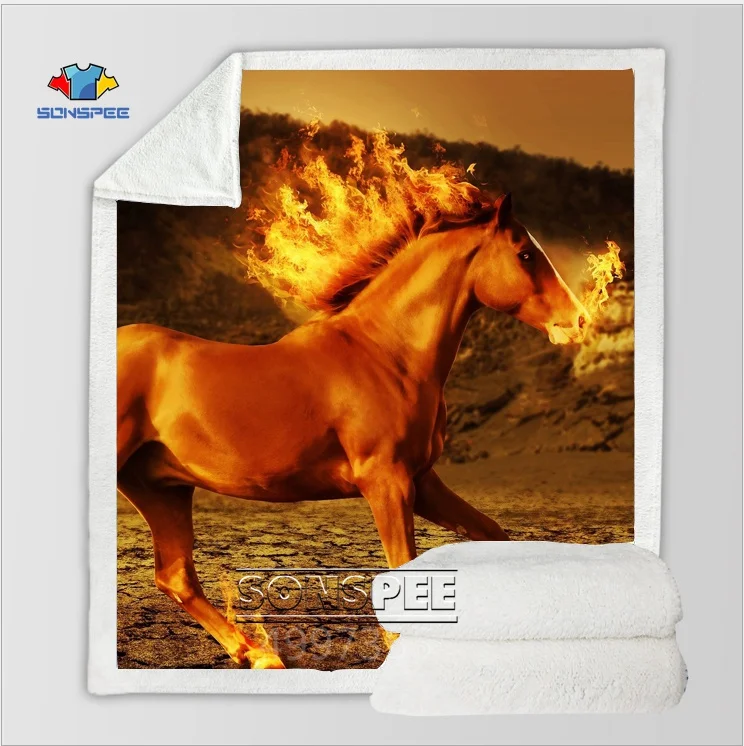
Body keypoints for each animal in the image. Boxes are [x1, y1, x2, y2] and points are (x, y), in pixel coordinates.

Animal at [116, 193, 588, 669]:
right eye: (525, 254)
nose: (579, 320)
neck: (385, 353)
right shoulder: (387, 482)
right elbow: (402, 570)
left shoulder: (422, 481)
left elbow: (492, 533)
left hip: (164, 490)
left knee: (176, 577)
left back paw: (256, 654)